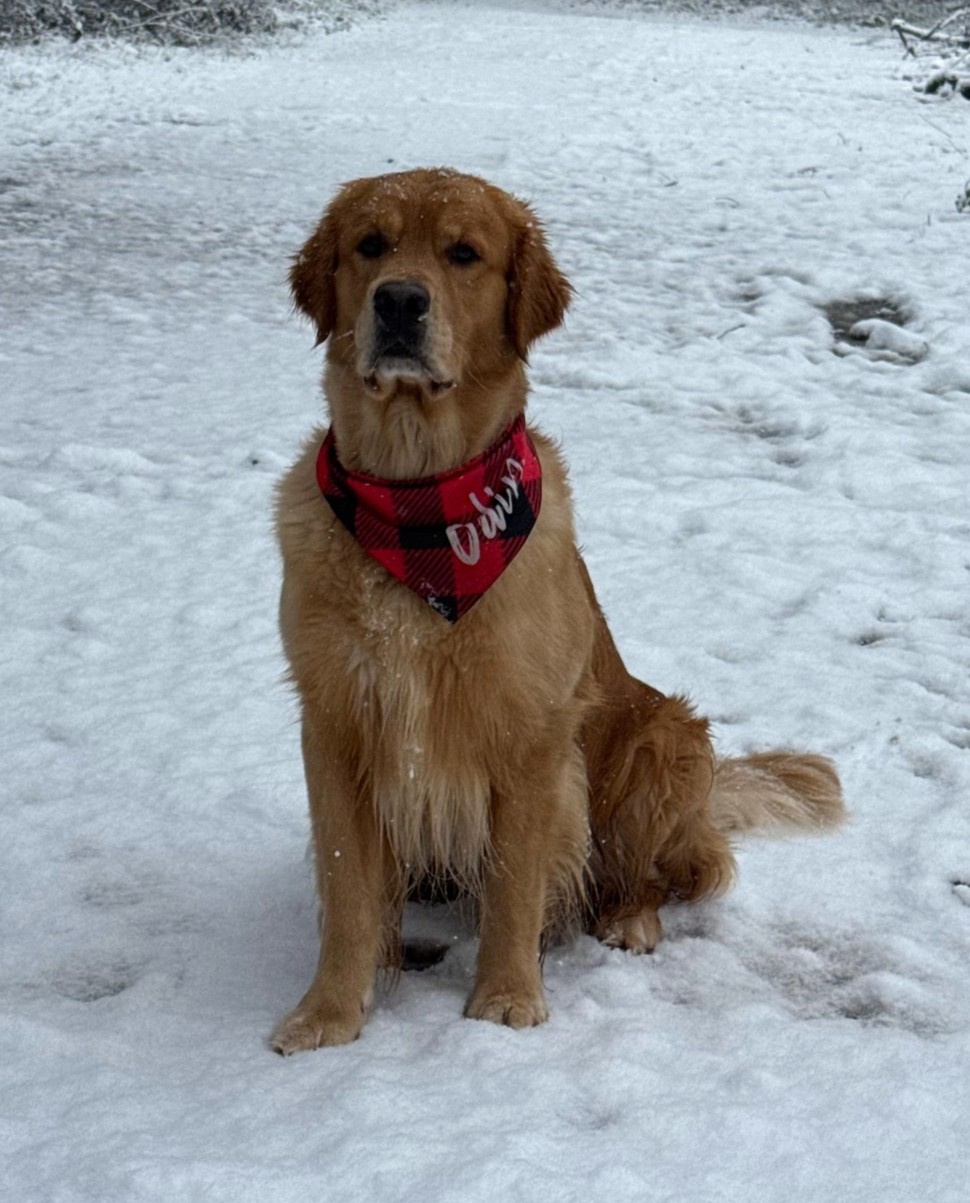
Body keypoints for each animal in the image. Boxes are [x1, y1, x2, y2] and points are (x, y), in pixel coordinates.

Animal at [271, 168, 844, 1054]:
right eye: (370, 245)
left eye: (463, 254)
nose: (399, 301)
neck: (419, 504)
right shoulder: (334, 723)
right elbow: (347, 888)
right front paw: (329, 1011)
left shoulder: (532, 736)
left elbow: (515, 883)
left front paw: (506, 997)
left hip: (665, 738)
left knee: (655, 875)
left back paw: (631, 921)